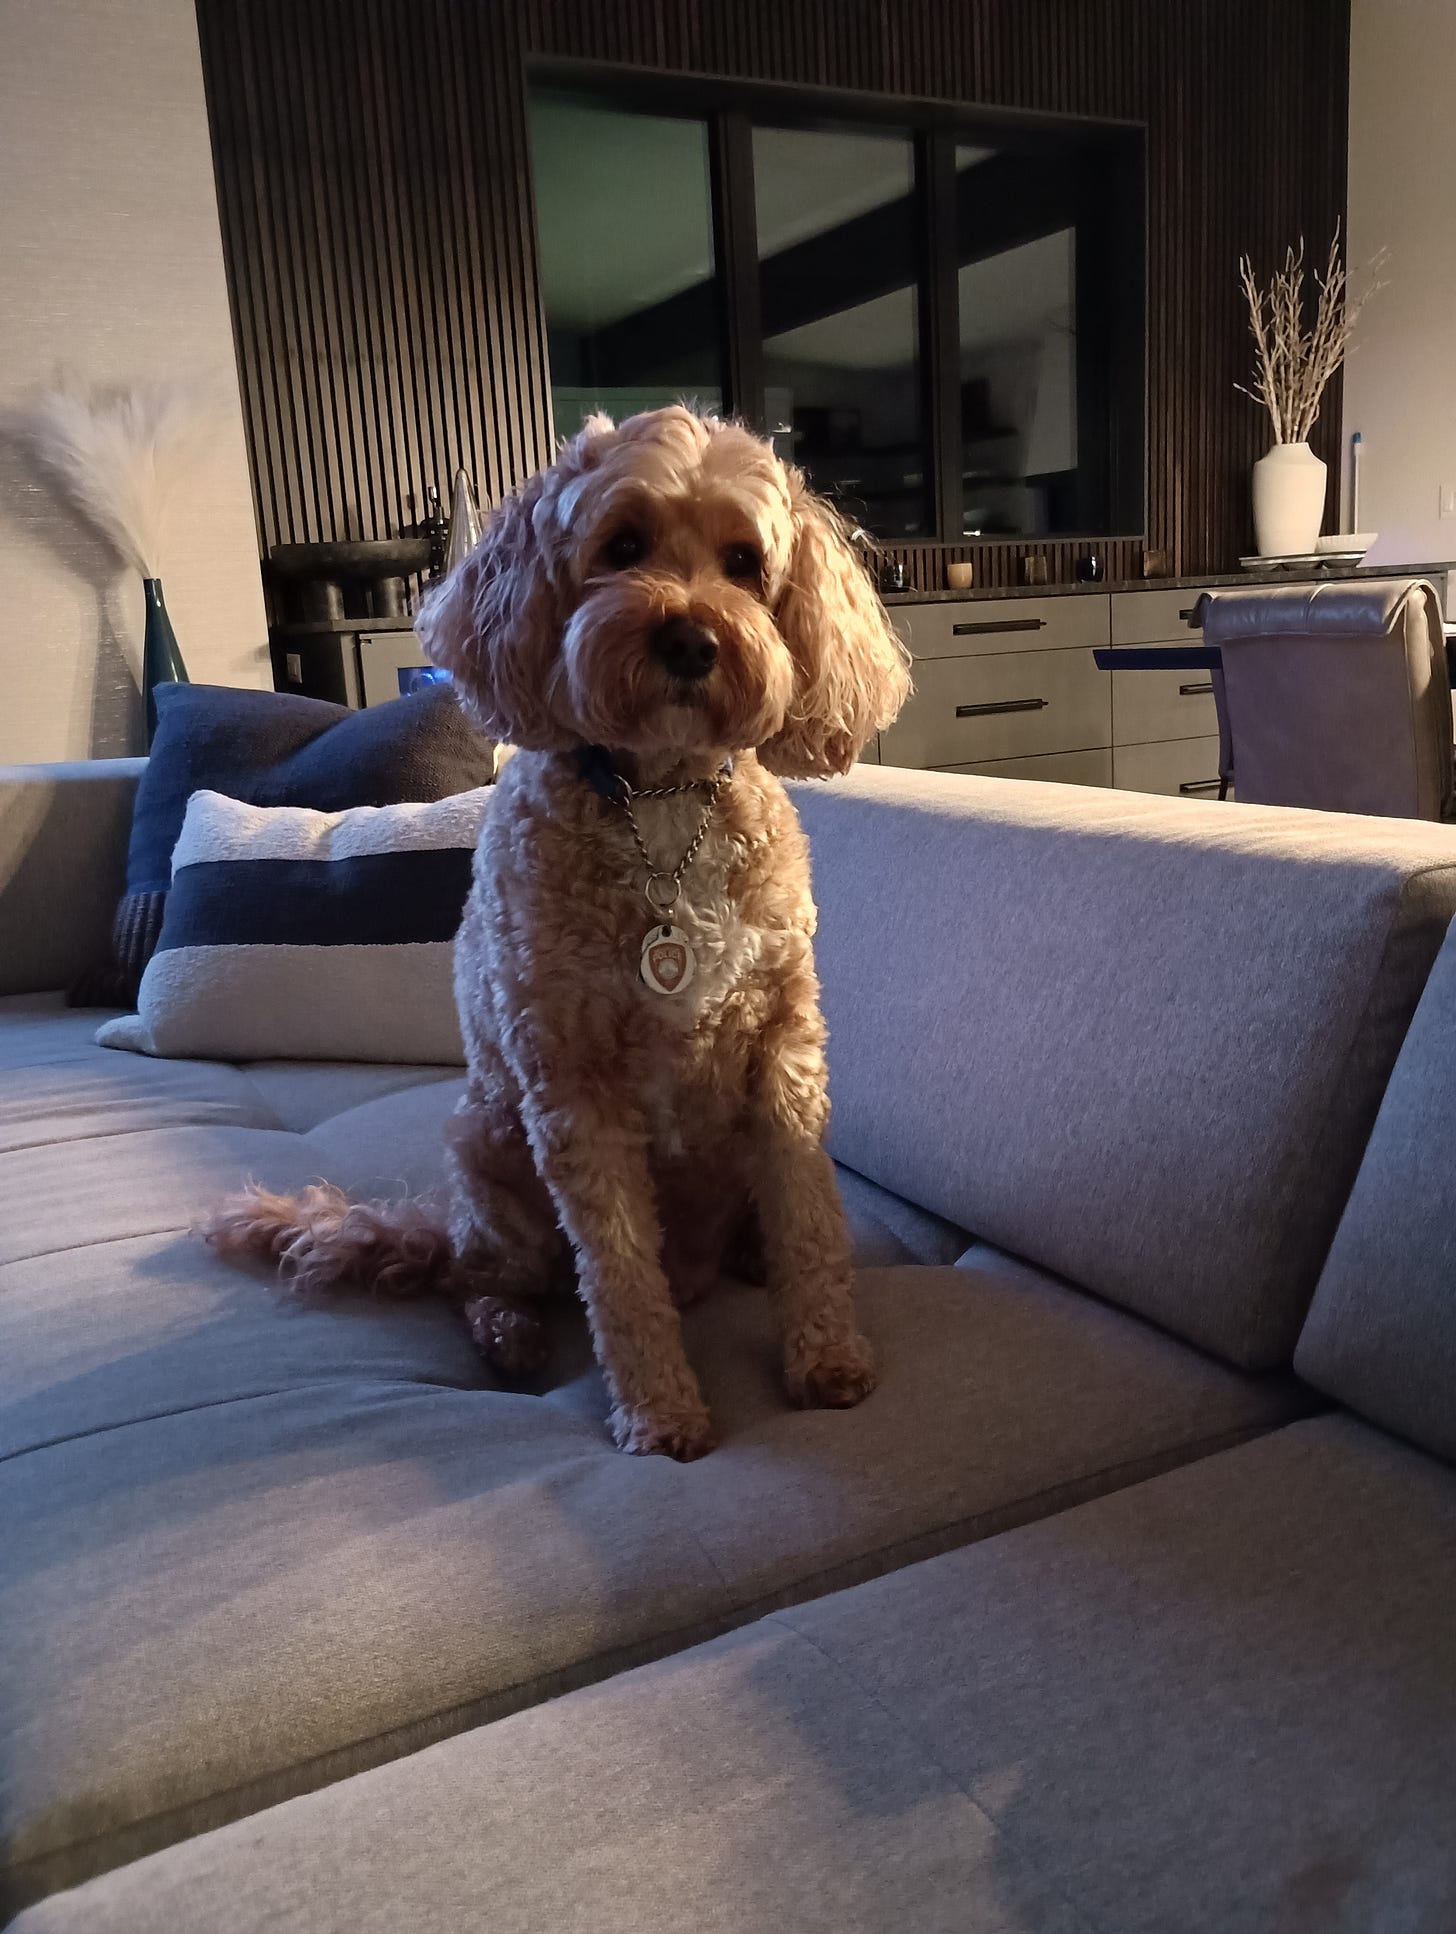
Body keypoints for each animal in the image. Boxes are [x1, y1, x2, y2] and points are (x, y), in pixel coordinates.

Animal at [207, 405, 910, 1459]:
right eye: (621, 546)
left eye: (745, 562)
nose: (691, 639)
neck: (660, 800)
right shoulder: (573, 1087)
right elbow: (617, 1272)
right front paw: (660, 1414)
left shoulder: (785, 1050)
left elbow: (812, 1221)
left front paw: (827, 1358)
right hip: (487, 1140)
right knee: (479, 1277)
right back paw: (510, 1333)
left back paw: (743, 1259)